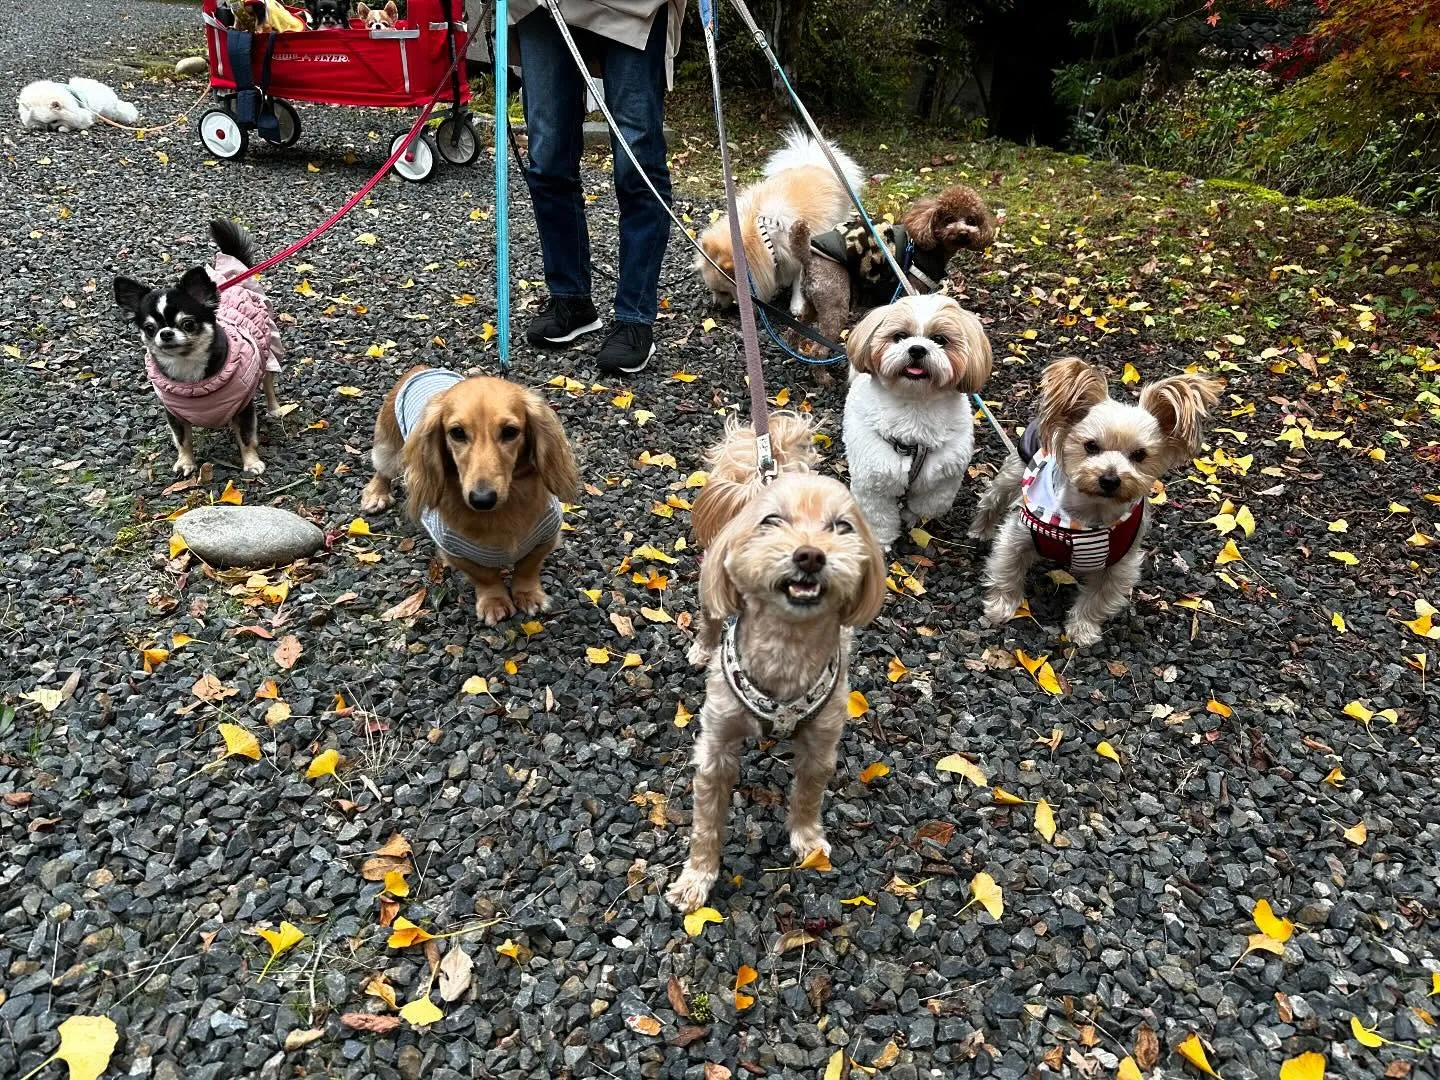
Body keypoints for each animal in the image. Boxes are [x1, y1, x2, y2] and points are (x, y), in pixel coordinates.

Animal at [665, 414, 887, 915]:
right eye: (771, 521)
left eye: (841, 527)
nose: (810, 554)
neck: (786, 646)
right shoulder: (716, 747)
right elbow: (706, 822)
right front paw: (697, 877)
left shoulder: (822, 741)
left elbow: (807, 794)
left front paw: (808, 842)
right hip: (709, 587)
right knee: (710, 614)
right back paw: (702, 647)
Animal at [699, 128, 864, 316]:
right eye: (713, 290)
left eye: (723, 291)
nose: (715, 306)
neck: (762, 234)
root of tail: (813, 163)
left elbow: (799, 280)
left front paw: (797, 304)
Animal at [840, 293, 996, 550]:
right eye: (900, 336)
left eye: (939, 339)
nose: (917, 349)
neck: (915, 406)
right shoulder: (874, 480)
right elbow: (879, 517)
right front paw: (882, 543)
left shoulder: (943, 477)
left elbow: (929, 504)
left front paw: (911, 517)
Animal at [961, 364, 1221, 648]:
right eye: (1091, 446)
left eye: (1139, 455)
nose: (1110, 479)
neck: (1088, 516)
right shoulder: (1018, 537)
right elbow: (1006, 569)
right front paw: (1000, 608)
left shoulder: (1120, 565)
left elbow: (1097, 600)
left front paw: (1082, 630)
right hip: (1017, 468)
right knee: (993, 498)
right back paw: (980, 531)